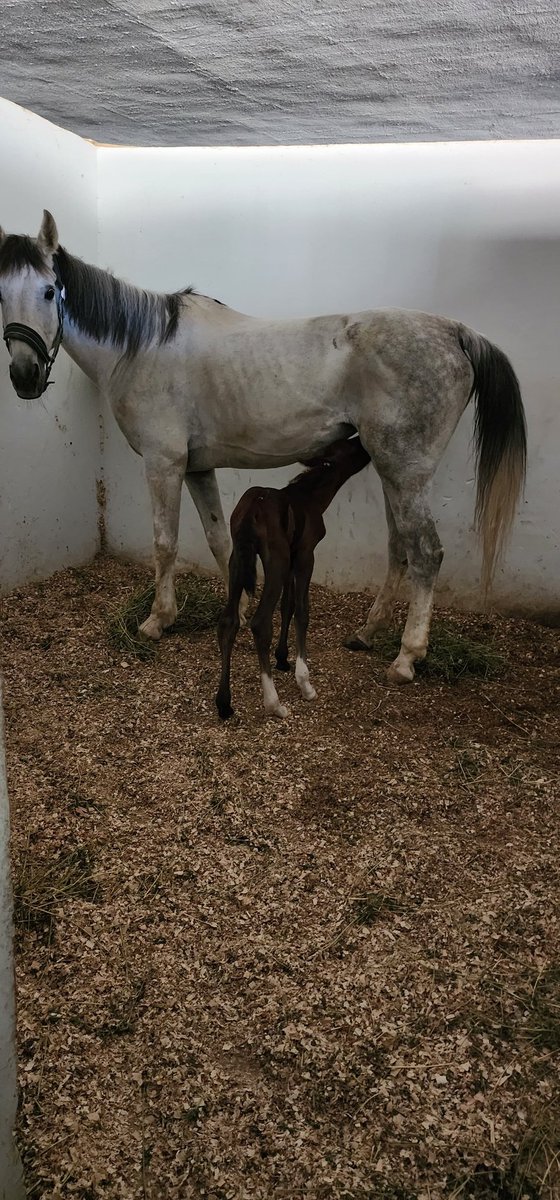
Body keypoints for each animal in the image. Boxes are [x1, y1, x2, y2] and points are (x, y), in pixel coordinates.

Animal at [0, 211, 527, 685]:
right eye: (1, 295)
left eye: (48, 291)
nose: (24, 376)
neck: (141, 348)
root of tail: (455, 333)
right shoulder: (197, 469)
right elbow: (219, 539)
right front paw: (242, 604)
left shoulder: (163, 464)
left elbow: (165, 543)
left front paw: (157, 619)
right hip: (392, 470)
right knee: (400, 547)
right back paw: (366, 634)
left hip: (405, 470)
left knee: (427, 554)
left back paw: (406, 658)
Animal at [216, 435, 371, 720]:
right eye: (350, 446)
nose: (366, 447)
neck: (310, 497)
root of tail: (250, 511)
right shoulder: (305, 556)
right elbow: (301, 610)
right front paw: (305, 683)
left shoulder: (291, 559)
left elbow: (286, 606)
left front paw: (282, 658)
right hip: (274, 561)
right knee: (259, 623)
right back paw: (274, 703)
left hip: (237, 561)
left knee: (228, 621)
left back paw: (224, 703)